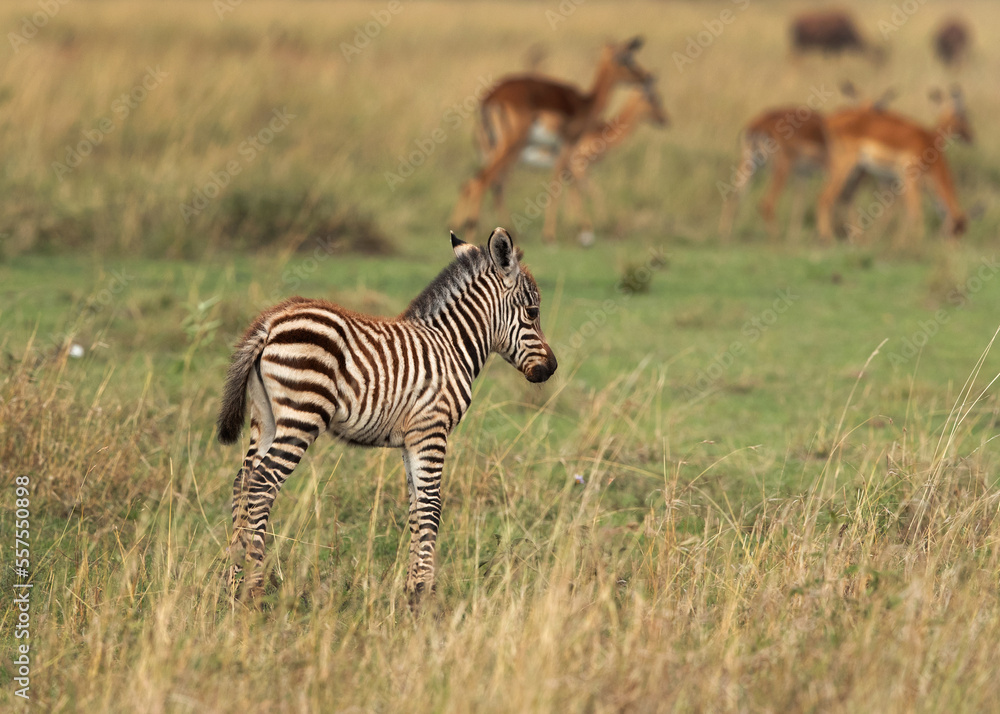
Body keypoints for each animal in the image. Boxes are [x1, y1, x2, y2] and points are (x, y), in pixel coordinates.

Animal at [217, 227, 558, 604]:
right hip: (302, 416)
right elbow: (431, 507)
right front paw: (424, 594)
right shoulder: (431, 430)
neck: (451, 346)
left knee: (243, 481)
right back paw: (254, 589)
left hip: (266, 418)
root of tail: (271, 322)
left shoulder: (412, 440)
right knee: (263, 484)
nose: (552, 368)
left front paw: (412, 588)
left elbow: (415, 509)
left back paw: (232, 583)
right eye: (532, 311)